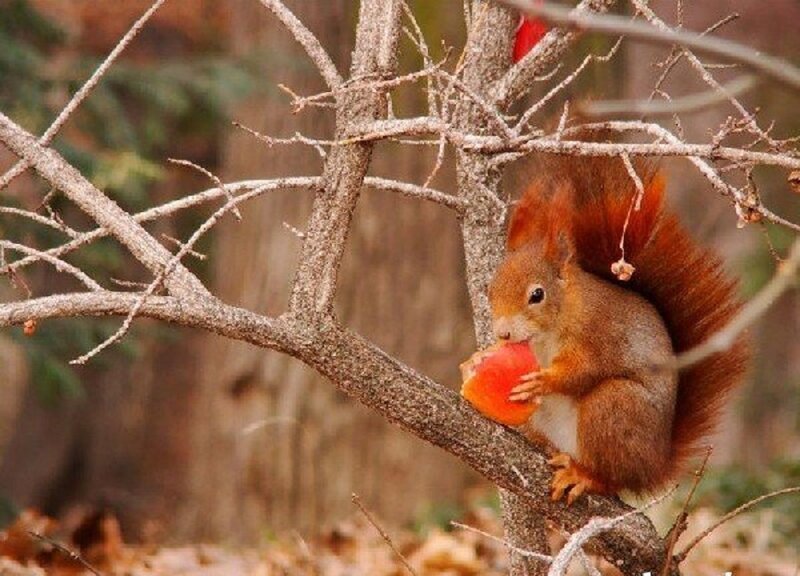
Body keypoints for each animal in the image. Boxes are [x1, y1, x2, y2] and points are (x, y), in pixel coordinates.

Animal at [488, 155, 750, 504]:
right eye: (490, 289)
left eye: (537, 295)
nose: (503, 334)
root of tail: (654, 467)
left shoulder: (600, 333)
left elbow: (584, 370)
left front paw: (544, 381)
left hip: (614, 408)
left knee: (612, 477)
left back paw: (584, 476)